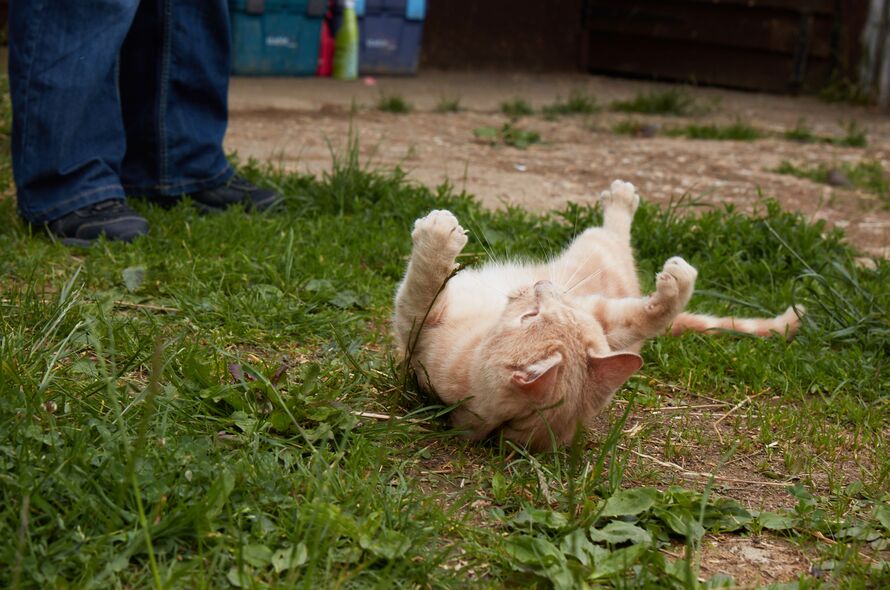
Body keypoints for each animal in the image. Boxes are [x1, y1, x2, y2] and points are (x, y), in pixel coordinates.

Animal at [392, 183, 800, 450]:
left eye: (530, 315)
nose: (540, 285)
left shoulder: (418, 321)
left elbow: (423, 281)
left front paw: (437, 234)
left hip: (596, 260)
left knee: (613, 237)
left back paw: (623, 200)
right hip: (609, 312)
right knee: (648, 315)